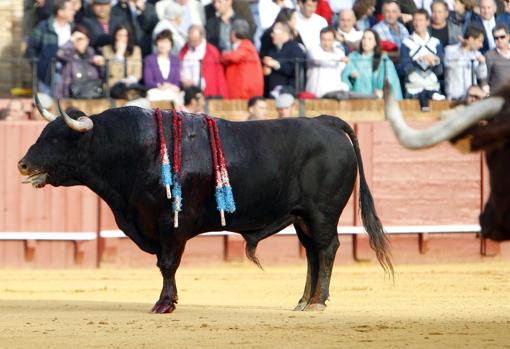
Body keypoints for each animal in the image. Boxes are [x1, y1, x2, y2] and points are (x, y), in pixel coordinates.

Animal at [16, 106, 390, 312]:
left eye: (57, 138)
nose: (22, 164)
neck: (134, 149)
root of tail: (325, 122)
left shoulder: (172, 223)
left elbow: (167, 263)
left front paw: (165, 303)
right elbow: (163, 264)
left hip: (322, 213)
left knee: (327, 249)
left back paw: (317, 302)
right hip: (302, 218)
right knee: (312, 253)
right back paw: (303, 301)